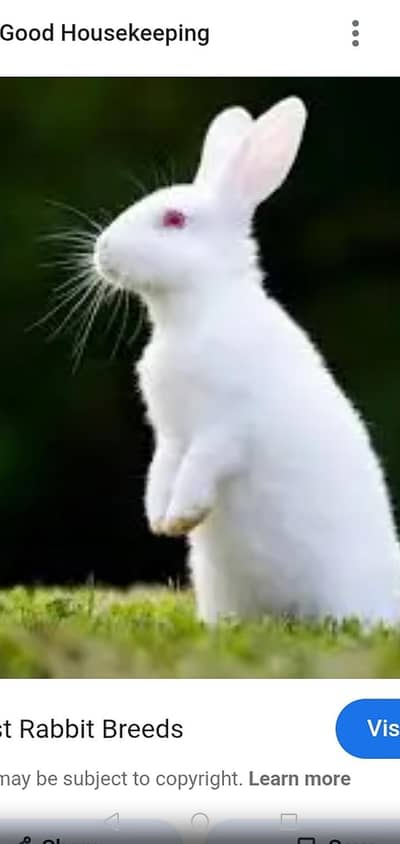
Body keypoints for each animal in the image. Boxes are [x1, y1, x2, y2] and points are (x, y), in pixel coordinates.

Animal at [93, 97, 400, 625]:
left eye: (174, 220)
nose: (102, 250)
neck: (192, 316)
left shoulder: (227, 427)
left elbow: (201, 464)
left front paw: (181, 516)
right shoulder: (169, 434)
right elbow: (162, 469)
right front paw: (159, 520)